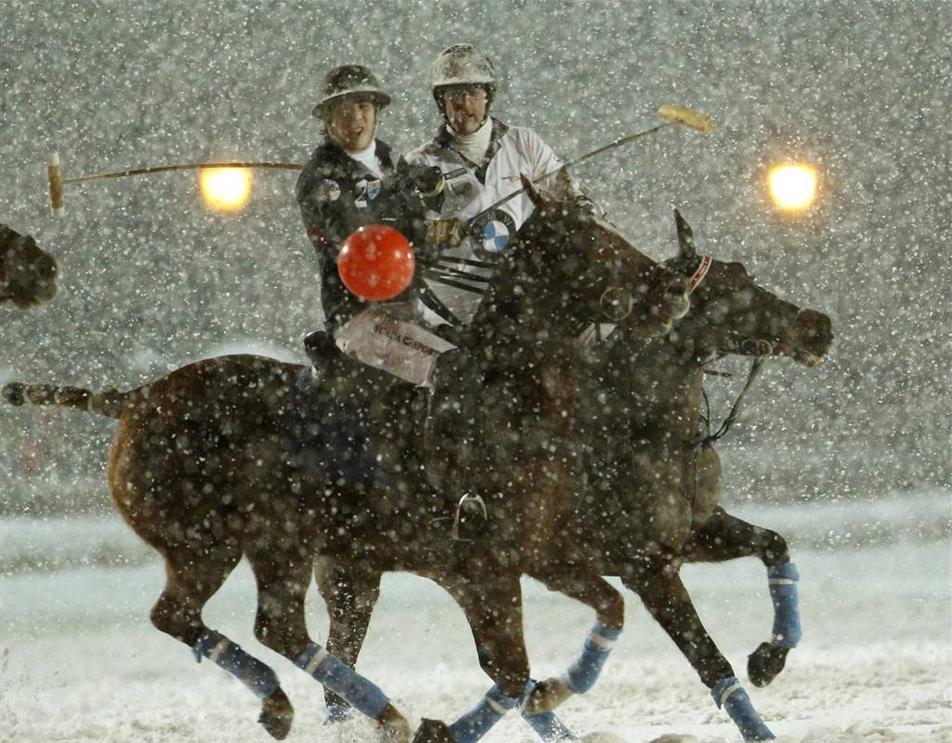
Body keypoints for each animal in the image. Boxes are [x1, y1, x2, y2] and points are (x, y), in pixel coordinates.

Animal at [2, 179, 691, 743]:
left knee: (265, 624)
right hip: (216, 540)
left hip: (275, 543)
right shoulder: (479, 569)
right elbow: (510, 672)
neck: (504, 394)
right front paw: (450, 725)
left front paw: (557, 691)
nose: (674, 289)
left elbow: (607, 610)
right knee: (203, 617)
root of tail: (135, 397)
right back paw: (359, 710)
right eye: (589, 242)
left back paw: (315, 707)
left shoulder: (538, 552)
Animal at [308, 211, 834, 742]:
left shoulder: (691, 534)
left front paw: (769, 658)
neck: (640, 422)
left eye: (745, 273)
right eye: (722, 293)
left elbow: (773, 545)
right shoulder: (639, 566)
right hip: (358, 575)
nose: (817, 327)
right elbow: (708, 659)